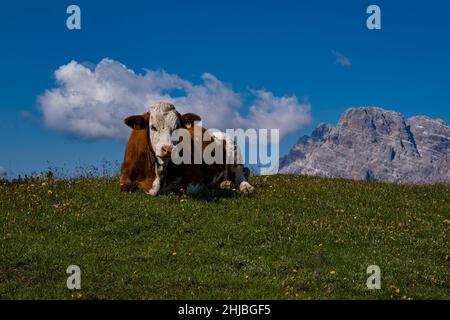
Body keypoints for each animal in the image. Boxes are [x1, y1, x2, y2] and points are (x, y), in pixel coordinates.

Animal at [119, 101, 253, 195]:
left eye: (177, 127)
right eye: (153, 127)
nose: (168, 149)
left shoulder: (196, 178)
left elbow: (185, 189)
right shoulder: (124, 178)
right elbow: (125, 186)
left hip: (235, 153)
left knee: (240, 175)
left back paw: (245, 187)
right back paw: (226, 183)